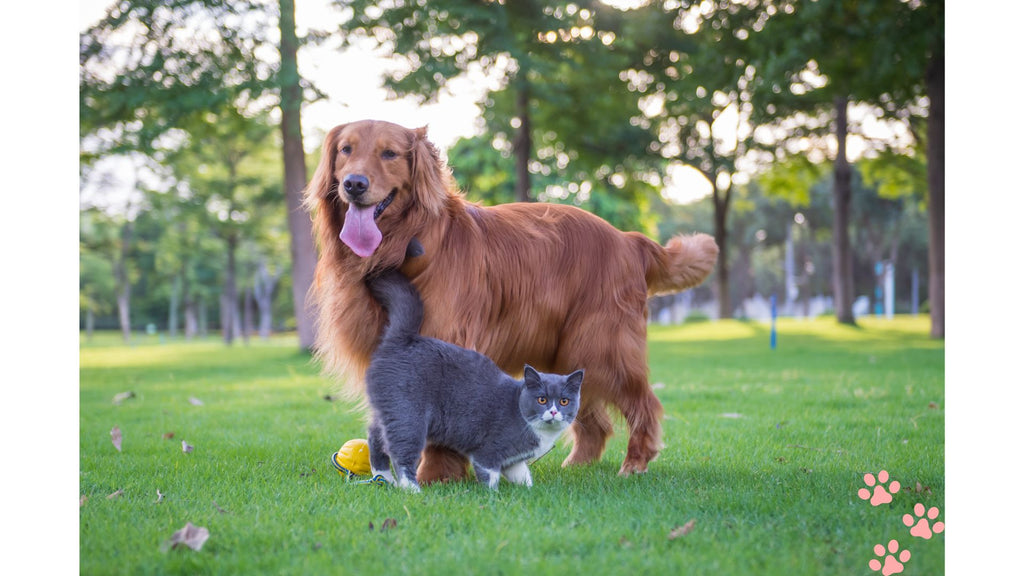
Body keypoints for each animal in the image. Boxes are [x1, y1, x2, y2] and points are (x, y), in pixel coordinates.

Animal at [366, 268, 585, 487]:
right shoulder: (488, 451)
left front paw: (528, 490)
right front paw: (492, 493)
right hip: (408, 414)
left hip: (387, 409)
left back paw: (384, 479)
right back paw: (411, 488)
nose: (554, 411)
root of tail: (404, 339)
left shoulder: (513, 460)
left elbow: (522, 474)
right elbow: (489, 475)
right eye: (541, 399)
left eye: (564, 401)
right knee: (401, 452)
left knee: (376, 439)